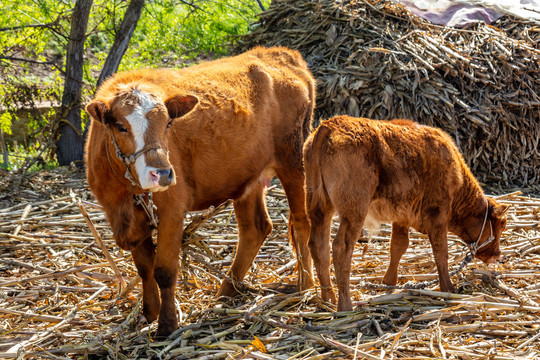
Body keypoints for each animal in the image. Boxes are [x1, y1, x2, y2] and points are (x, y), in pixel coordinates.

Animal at [84, 46, 316, 336]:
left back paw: (305, 287)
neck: (125, 192)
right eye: (121, 126)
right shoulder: (126, 216)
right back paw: (227, 291)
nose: (162, 174)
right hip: (249, 177)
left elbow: (164, 270)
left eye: (168, 124)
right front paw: (149, 313)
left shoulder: (172, 209)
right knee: (255, 228)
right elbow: (144, 267)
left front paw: (167, 325)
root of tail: (280, 54)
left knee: (301, 222)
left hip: (294, 159)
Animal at [306, 116, 508, 312]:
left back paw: (328, 299)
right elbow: (441, 252)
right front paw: (448, 288)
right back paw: (345, 306)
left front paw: (388, 282)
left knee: (319, 246)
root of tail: (330, 125)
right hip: (354, 212)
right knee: (341, 248)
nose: (497, 255)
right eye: (501, 224)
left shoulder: (401, 217)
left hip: (319, 210)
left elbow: (398, 246)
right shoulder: (438, 215)